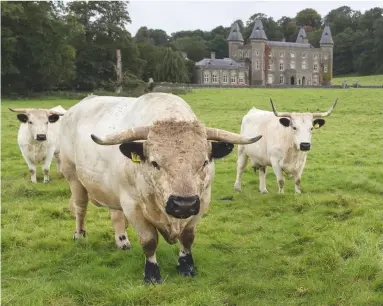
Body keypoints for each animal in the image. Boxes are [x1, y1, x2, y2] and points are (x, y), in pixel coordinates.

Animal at [58, 94, 262, 284]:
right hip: (74, 177)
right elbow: (149, 241)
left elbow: (188, 238)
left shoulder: (202, 202)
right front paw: (152, 274)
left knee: (116, 215)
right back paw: (80, 235)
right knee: (80, 208)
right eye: (155, 163)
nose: (184, 204)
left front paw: (186, 267)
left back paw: (122, 241)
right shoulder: (133, 206)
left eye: (204, 162)